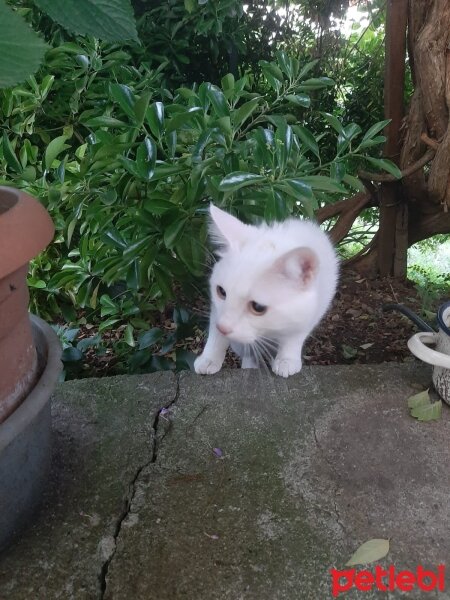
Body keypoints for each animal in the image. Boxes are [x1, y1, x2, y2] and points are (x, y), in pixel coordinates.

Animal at [193, 204, 338, 378]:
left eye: (258, 307)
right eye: (221, 291)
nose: (223, 327)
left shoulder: (313, 309)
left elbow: (295, 335)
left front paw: (286, 359)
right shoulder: (217, 309)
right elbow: (216, 335)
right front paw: (209, 358)